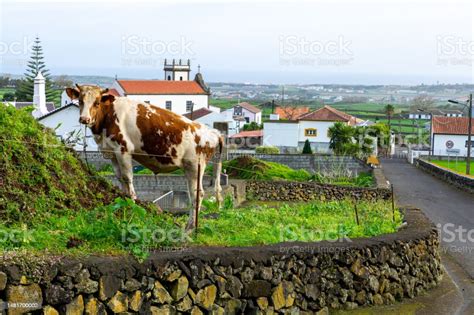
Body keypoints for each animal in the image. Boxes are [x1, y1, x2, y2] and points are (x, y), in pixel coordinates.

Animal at [65, 85, 226, 231]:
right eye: (80, 101)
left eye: (97, 102)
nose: (84, 119)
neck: (108, 115)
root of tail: (214, 132)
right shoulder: (112, 152)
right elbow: (120, 178)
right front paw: (123, 198)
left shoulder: (123, 149)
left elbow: (128, 177)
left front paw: (132, 201)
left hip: (195, 166)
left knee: (197, 193)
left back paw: (191, 227)